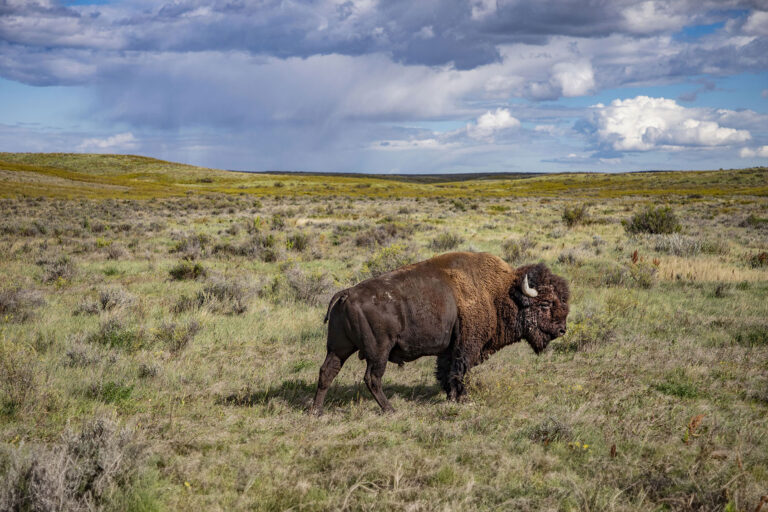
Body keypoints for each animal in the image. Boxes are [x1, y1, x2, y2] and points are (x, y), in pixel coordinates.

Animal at [310, 251, 570, 414]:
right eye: (545, 303)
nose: (561, 329)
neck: (499, 293)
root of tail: (347, 293)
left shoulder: (448, 349)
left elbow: (446, 372)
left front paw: (450, 396)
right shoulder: (466, 348)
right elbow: (458, 372)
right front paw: (462, 398)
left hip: (339, 348)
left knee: (327, 372)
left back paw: (316, 411)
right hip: (378, 352)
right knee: (372, 378)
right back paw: (390, 410)